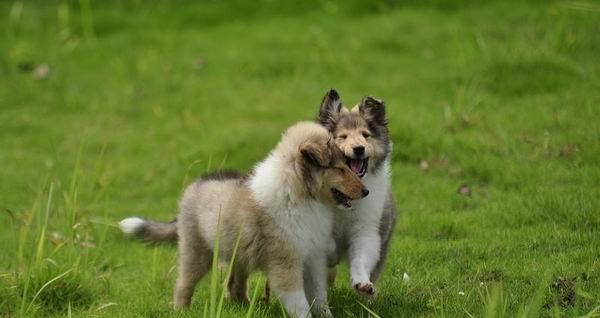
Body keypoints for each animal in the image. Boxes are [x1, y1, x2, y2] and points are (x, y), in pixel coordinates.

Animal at [119, 121, 368, 318]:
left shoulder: (314, 254)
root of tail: (194, 186)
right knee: (184, 283)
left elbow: (319, 294)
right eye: (339, 168)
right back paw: (181, 310)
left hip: (239, 251)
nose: (366, 192)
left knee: (235, 283)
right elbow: (298, 301)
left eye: (347, 165)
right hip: (196, 250)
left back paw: (246, 307)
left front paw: (326, 315)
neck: (299, 193)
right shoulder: (285, 261)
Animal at [316, 90, 396, 298]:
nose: (359, 149)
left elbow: (361, 258)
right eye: (342, 137)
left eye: (366, 135)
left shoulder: (367, 230)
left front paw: (362, 284)